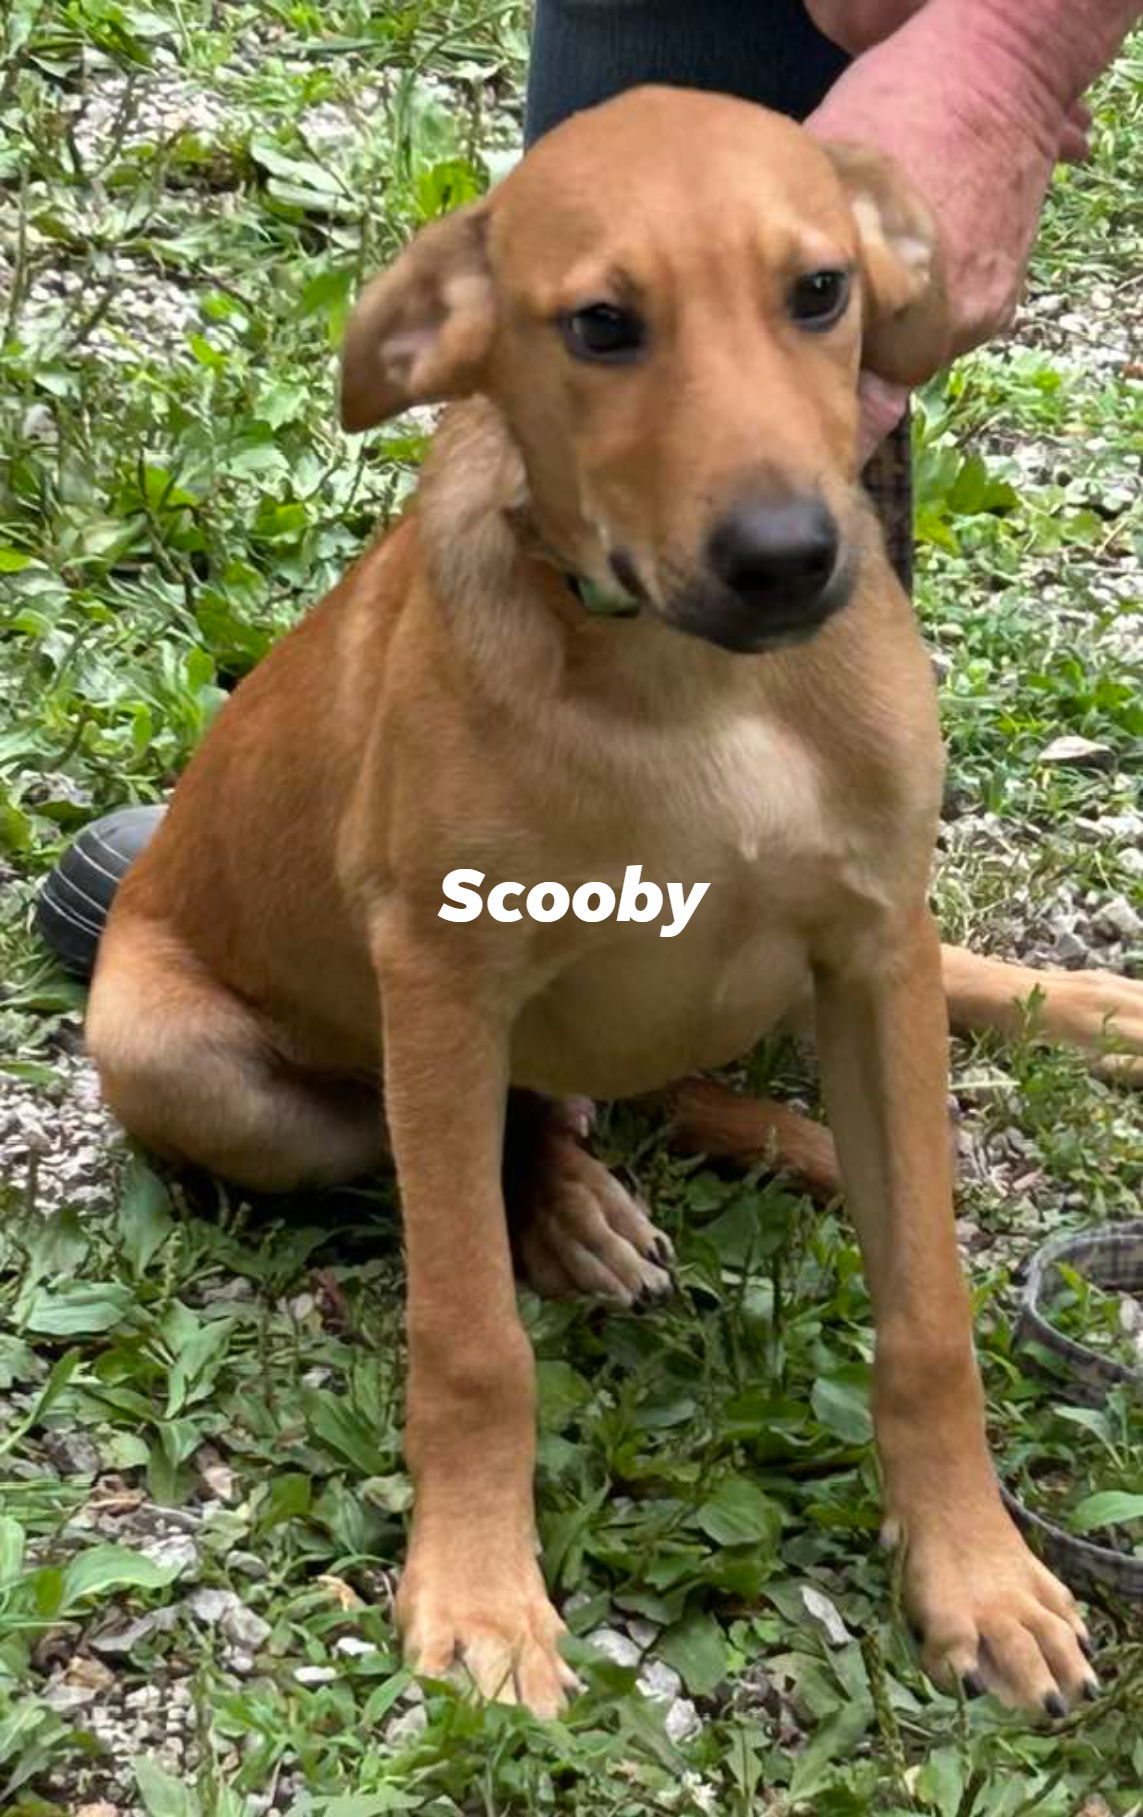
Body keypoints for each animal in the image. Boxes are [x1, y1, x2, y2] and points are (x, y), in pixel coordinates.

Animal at [89, 92, 1141, 1715]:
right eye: (599, 325)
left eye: (819, 291)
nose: (786, 560)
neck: (697, 690)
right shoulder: (441, 974)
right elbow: (468, 1336)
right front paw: (479, 1591)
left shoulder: (868, 948)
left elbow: (929, 1317)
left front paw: (975, 1574)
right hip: (174, 1051)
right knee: (491, 1126)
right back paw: (576, 1202)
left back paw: (1032, 1032)